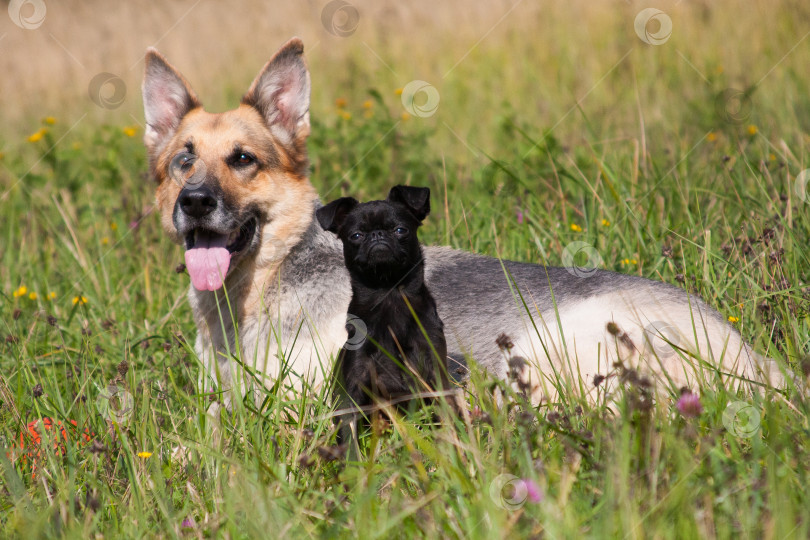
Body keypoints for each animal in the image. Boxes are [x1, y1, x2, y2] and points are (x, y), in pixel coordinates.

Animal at [316, 186, 452, 438]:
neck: (388, 293)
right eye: (356, 236)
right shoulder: (354, 384)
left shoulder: (433, 371)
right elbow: (349, 430)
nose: (378, 235)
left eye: (400, 230)